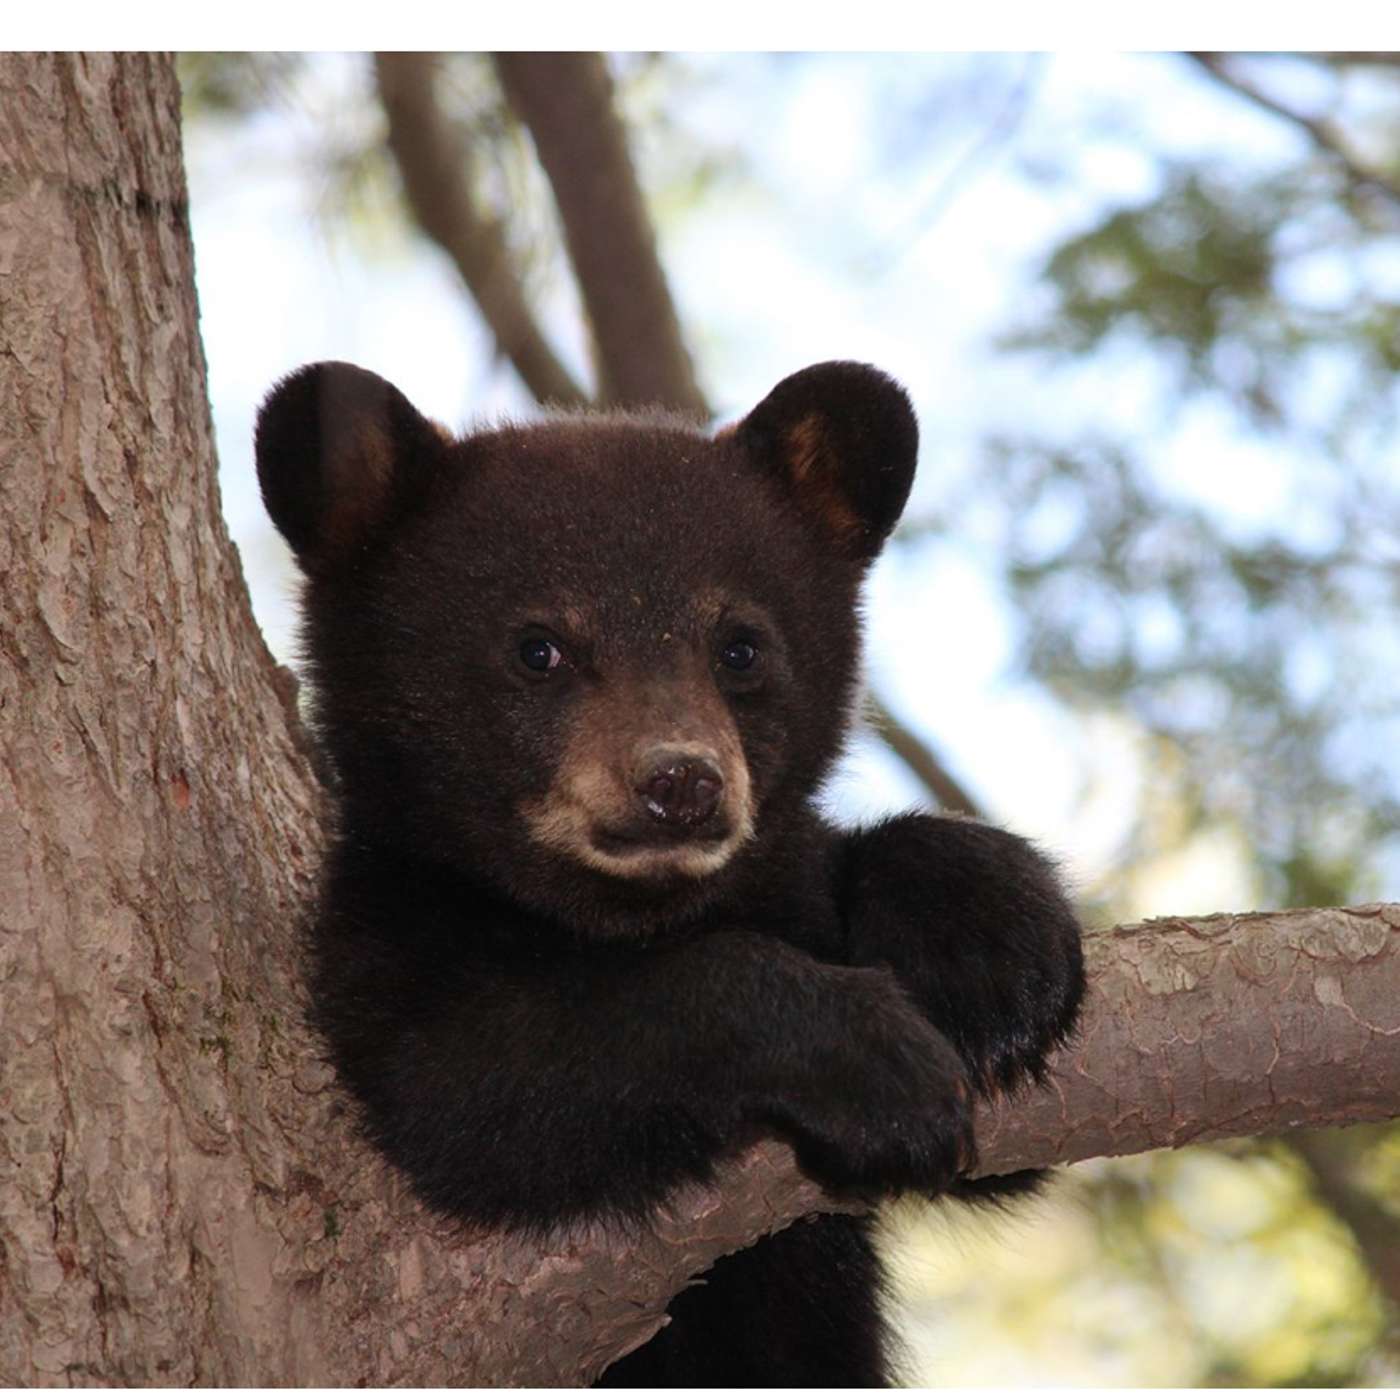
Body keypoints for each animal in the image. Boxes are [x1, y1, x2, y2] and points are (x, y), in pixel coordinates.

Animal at [254, 359, 1085, 1387]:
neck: (632, 911)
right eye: (539, 647)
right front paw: (871, 1057)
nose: (680, 780)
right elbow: (480, 1080)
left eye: (741, 646)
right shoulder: (387, 936)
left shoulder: (786, 883)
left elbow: (1014, 1147)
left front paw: (990, 949)